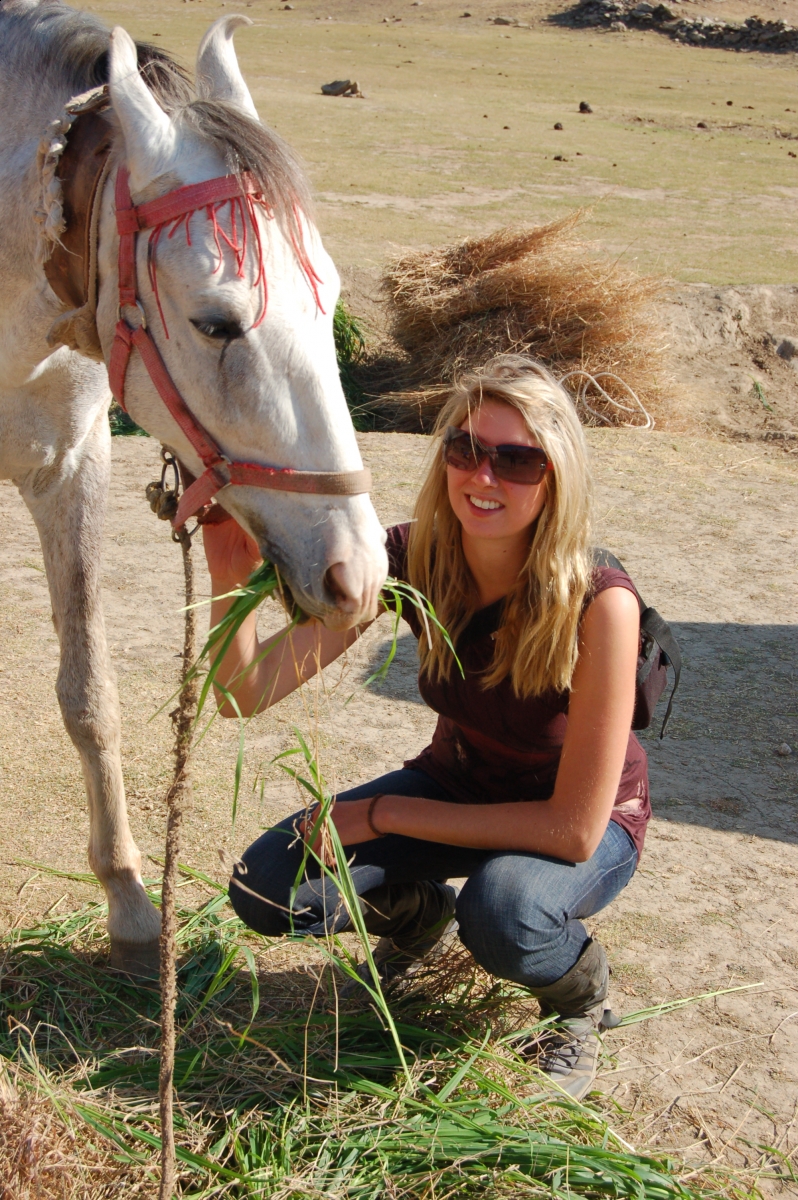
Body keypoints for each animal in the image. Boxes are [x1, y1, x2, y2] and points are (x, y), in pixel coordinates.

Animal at [0, 0, 388, 976]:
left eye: (330, 299)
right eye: (217, 322)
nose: (358, 573)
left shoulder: (70, 464)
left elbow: (89, 694)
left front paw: (132, 908)